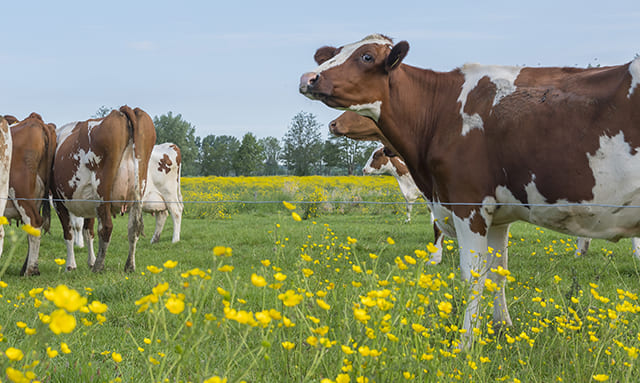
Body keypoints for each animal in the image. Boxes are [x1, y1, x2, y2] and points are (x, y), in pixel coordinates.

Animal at [51, 105, 156, 272]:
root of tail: (122, 110)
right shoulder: (89, 201)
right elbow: (88, 232)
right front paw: (90, 261)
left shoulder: (58, 200)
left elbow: (69, 233)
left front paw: (71, 265)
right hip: (138, 189)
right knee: (133, 228)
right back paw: (129, 265)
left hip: (102, 191)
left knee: (106, 227)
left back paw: (99, 266)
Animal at [302, 33, 640, 344]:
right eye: (333, 53)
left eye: (367, 56)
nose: (308, 78)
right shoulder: (498, 215)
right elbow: (497, 274)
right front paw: (503, 327)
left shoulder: (467, 204)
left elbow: (473, 276)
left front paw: (465, 341)